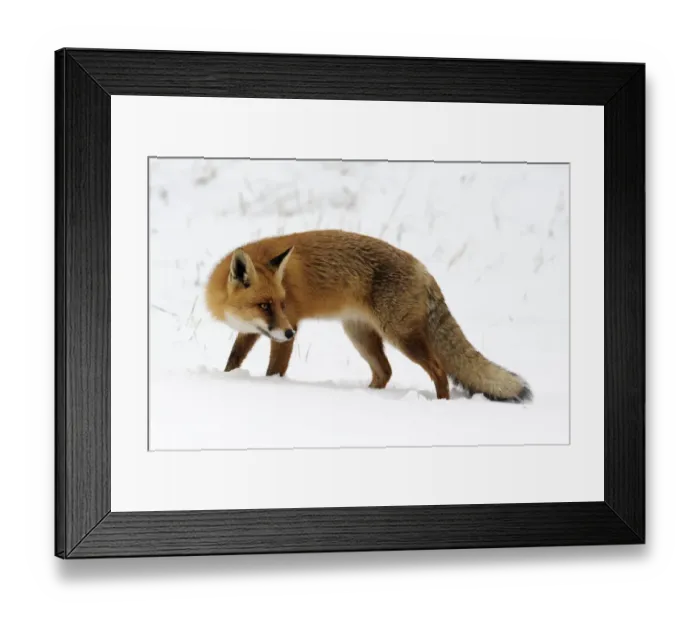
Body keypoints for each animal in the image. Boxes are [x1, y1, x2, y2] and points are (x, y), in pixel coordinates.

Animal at [205, 230, 532, 402]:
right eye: (264, 305)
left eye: (282, 304)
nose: (290, 334)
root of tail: (423, 269)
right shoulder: (253, 330)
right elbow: (234, 359)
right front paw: (228, 378)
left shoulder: (288, 325)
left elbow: (275, 369)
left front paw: (271, 388)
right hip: (360, 335)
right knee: (384, 372)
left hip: (400, 336)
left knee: (438, 370)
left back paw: (442, 403)